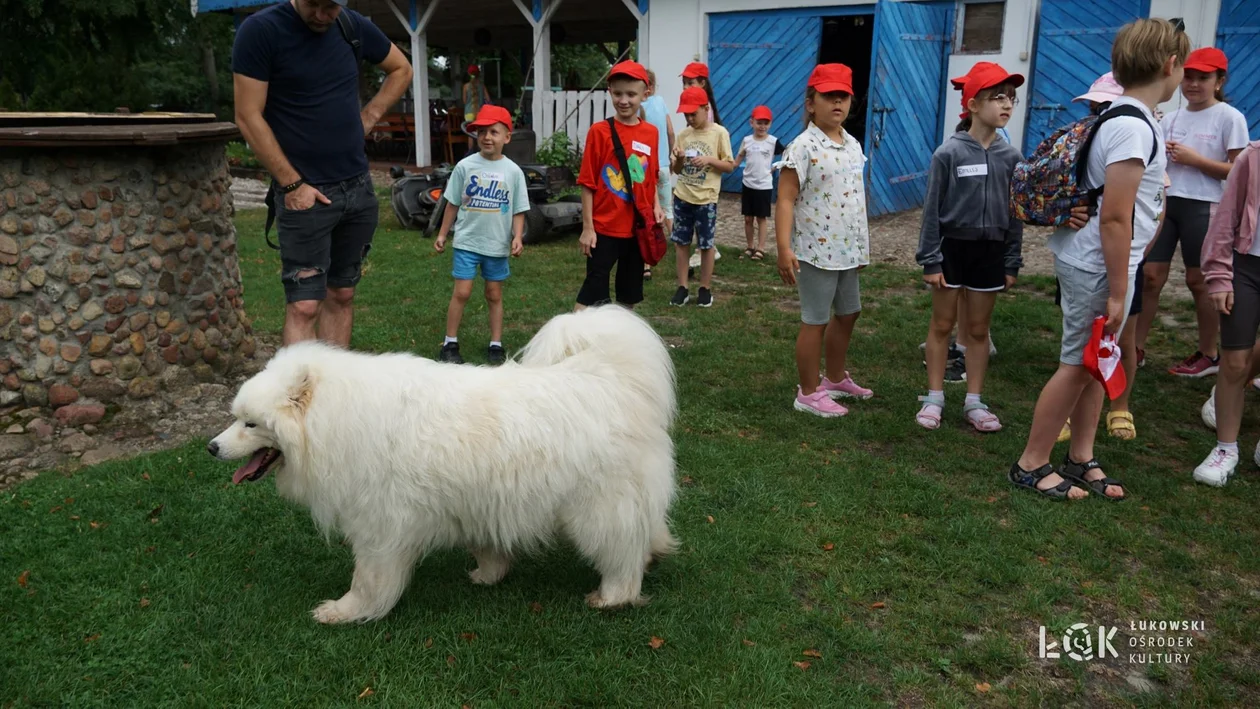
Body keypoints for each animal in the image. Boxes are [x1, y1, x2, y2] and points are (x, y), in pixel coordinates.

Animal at [206, 304, 680, 622]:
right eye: (235, 418)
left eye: (250, 424)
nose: (211, 447)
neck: (336, 419)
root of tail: (612, 378)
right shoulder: (478, 504)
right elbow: (488, 549)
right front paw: (489, 575)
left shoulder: (380, 526)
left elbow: (368, 581)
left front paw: (346, 611)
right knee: (647, 531)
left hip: (599, 510)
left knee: (622, 556)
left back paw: (613, 596)